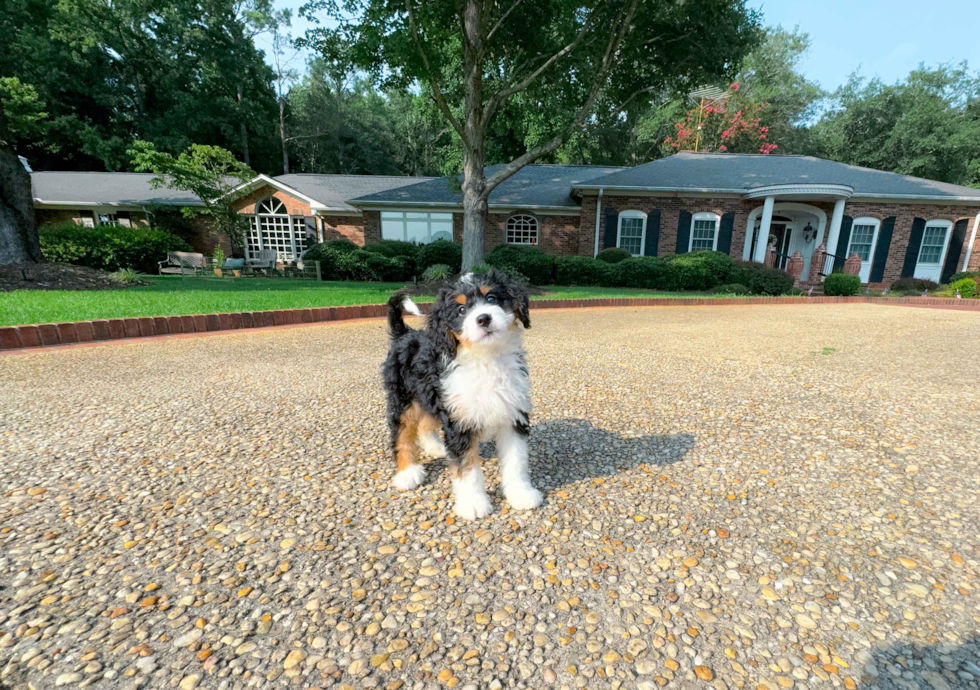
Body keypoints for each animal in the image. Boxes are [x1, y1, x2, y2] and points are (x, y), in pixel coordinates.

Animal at [380, 268, 544, 516]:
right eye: (461, 310)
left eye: (491, 299)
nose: (483, 318)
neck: (486, 358)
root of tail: (405, 334)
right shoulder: (459, 423)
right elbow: (467, 468)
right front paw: (473, 504)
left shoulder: (512, 415)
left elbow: (517, 460)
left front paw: (521, 495)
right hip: (403, 399)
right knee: (402, 433)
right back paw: (407, 473)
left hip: (433, 395)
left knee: (426, 422)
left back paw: (435, 447)